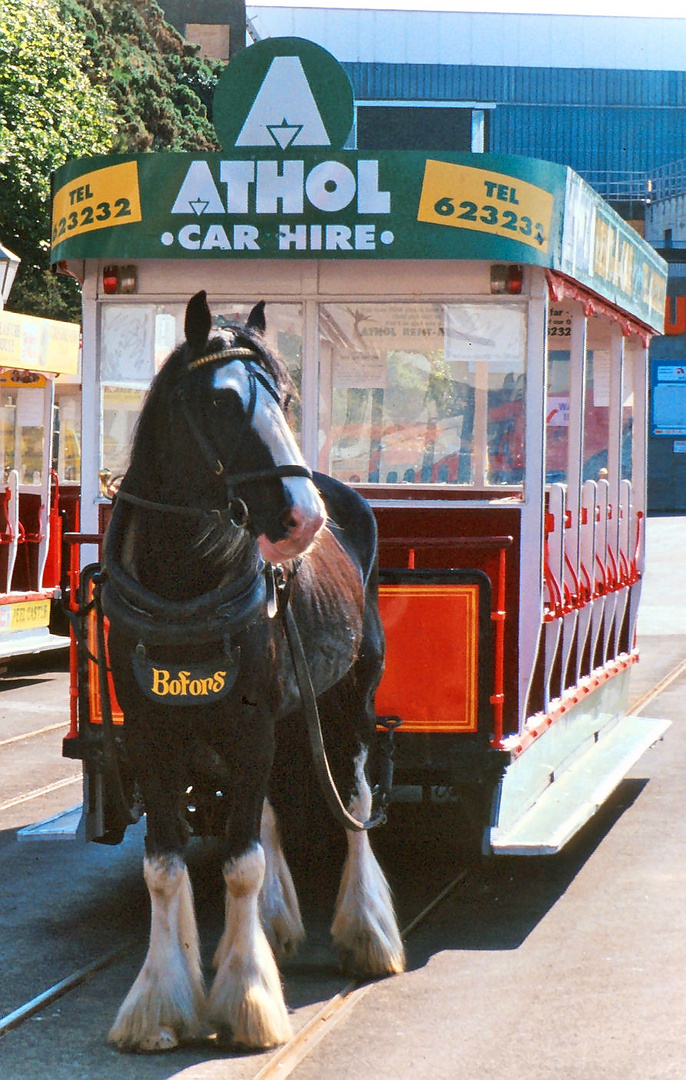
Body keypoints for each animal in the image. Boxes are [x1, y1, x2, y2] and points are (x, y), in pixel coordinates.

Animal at [102, 291, 401, 1049]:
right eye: (220, 402)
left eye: (286, 397)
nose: (303, 520)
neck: (183, 584)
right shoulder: (150, 730)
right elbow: (165, 862)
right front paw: (162, 1001)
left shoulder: (252, 722)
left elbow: (239, 863)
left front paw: (247, 1000)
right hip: (286, 712)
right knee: (266, 806)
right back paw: (275, 925)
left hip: (348, 701)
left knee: (355, 800)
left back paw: (367, 932)